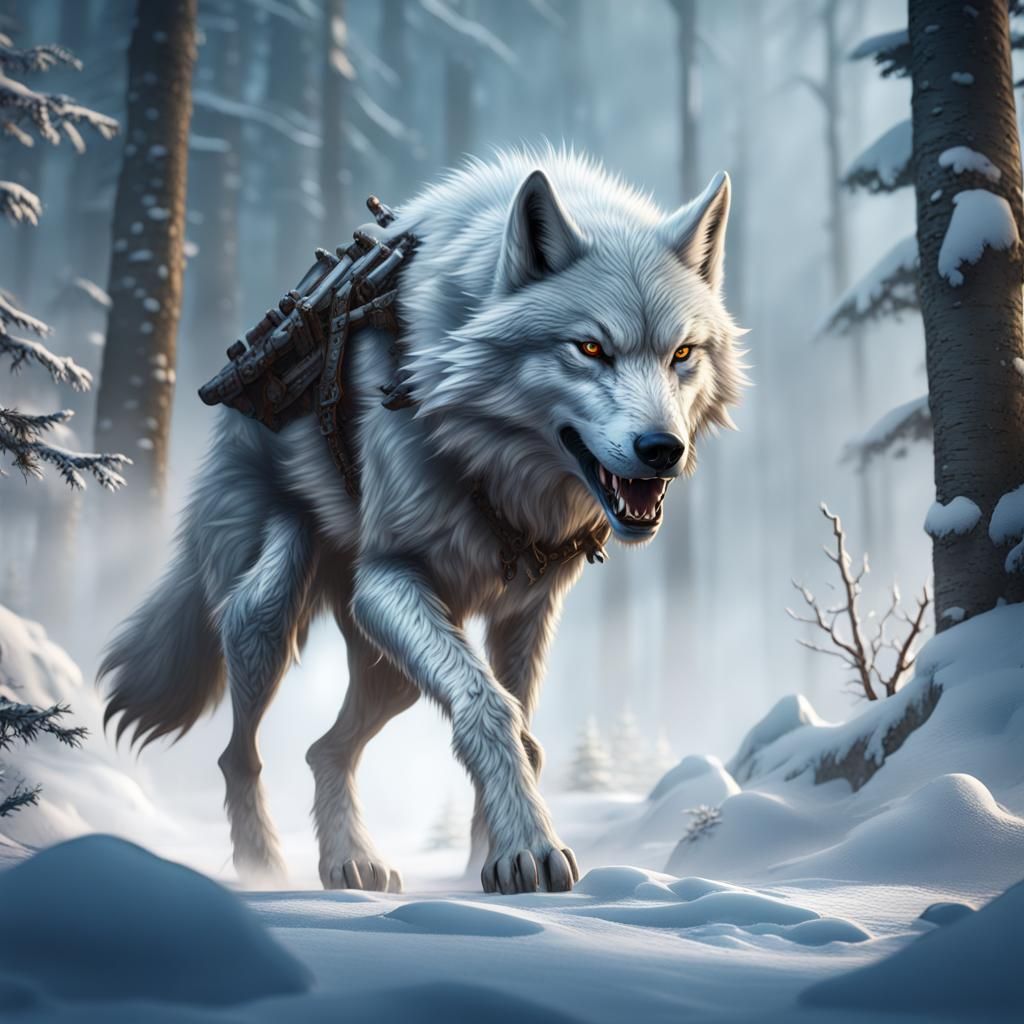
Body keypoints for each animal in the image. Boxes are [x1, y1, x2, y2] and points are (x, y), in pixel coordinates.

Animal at [100, 148, 745, 894]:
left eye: (683, 354)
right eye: (589, 349)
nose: (662, 450)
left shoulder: (528, 613)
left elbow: (526, 731)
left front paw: (486, 862)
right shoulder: (388, 581)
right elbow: (492, 709)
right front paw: (529, 848)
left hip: (393, 671)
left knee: (323, 750)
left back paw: (349, 861)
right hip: (276, 600)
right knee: (240, 752)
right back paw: (264, 868)